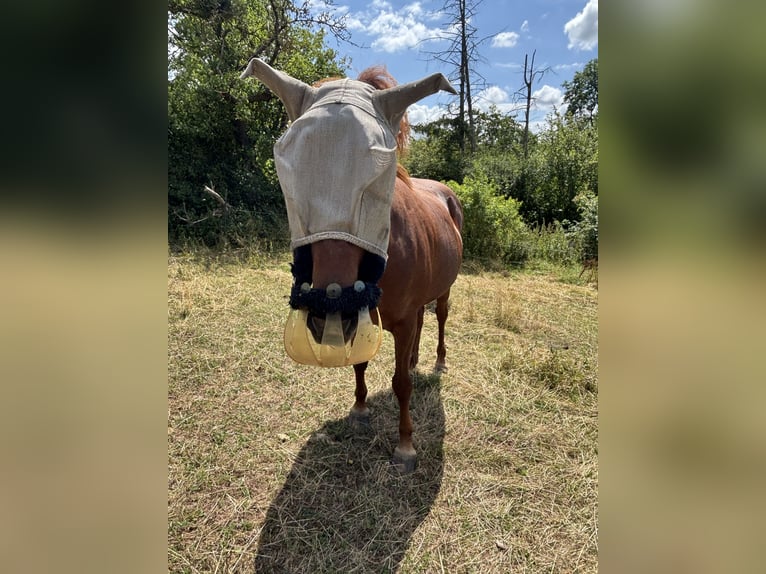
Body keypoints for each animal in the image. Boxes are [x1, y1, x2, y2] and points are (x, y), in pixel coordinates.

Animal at [241, 59, 463, 472]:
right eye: (287, 169)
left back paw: (438, 362)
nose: (332, 305)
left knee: (439, 316)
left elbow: (400, 384)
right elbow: (361, 364)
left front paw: (405, 446)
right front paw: (360, 410)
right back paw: (415, 359)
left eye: (380, 172)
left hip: (445, 288)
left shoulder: (400, 321)